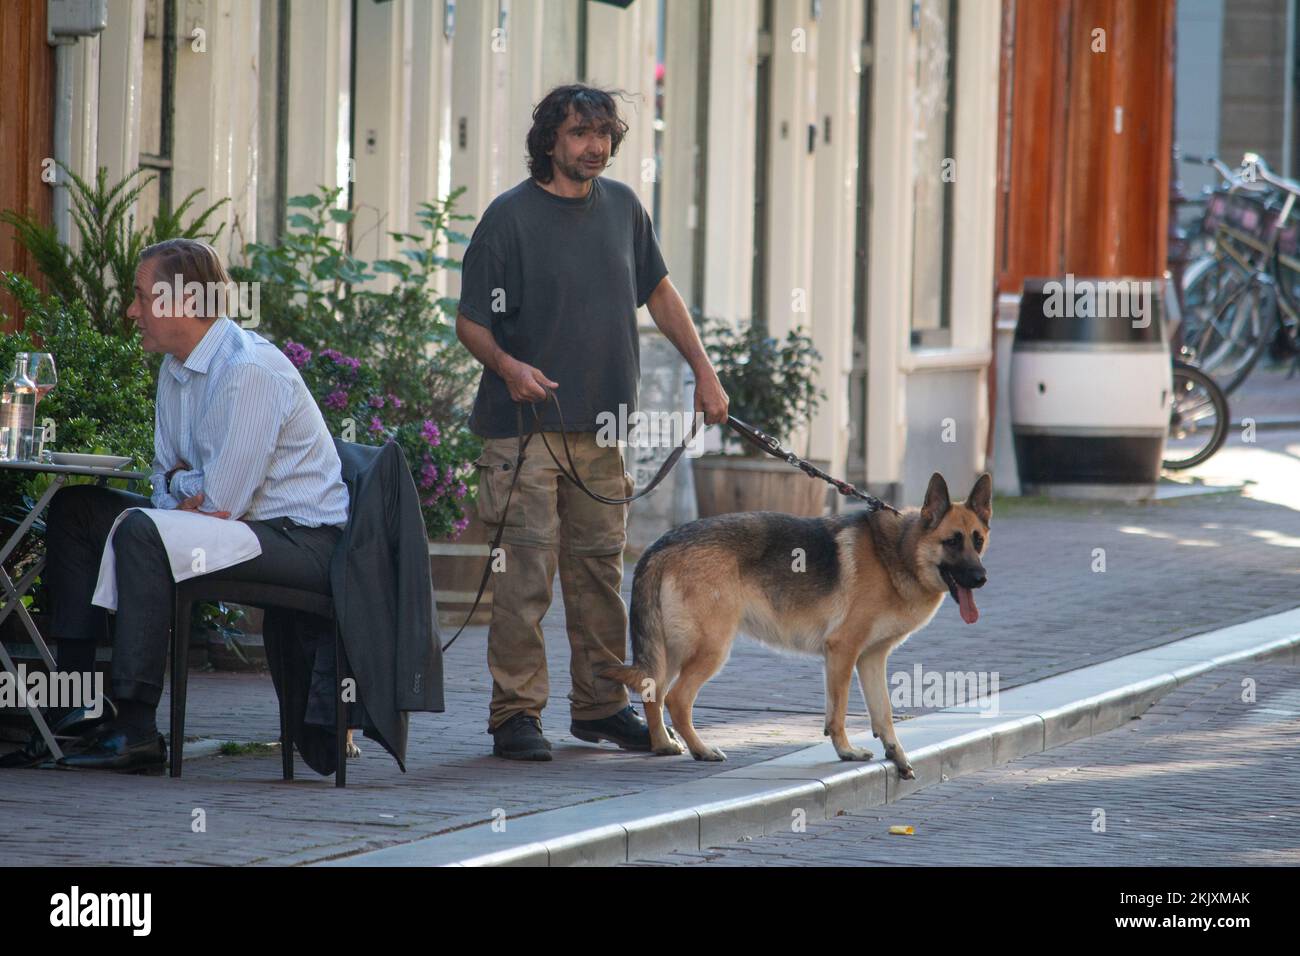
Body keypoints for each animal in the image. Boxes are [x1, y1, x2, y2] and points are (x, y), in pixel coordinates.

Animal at [603, 470, 987, 780]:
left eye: (978, 540)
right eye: (952, 541)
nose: (981, 578)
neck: (897, 552)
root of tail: (662, 543)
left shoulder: (870, 658)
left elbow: (883, 713)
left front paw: (897, 755)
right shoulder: (843, 651)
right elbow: (840, 712)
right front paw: (846, 751)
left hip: (672, 651)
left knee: (653, 691)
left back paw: (663, 745)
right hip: (710, 649)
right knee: (677, 699)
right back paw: (701, 749)